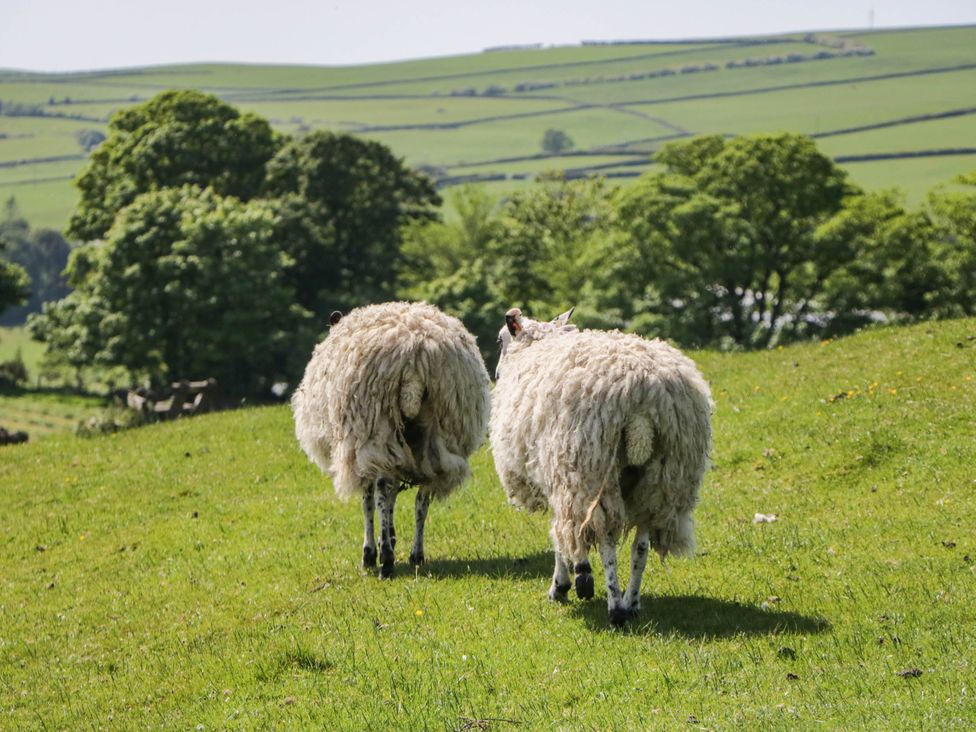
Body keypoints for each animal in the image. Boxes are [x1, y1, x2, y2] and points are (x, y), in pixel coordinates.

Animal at [292, 301, 490, 578]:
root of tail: (415, 365)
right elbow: (395, 494)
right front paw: (392, 538)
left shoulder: (360, 451)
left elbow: (369, 500)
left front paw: (370, 552)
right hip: (440, 434)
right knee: (423, 496)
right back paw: (416, 554)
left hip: (375, 430)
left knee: (382, 489)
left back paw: (385, 559)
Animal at [491, 307, 712, 625]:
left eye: (500, 340)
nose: (495, 374)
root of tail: (644, 400)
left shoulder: (560, 474)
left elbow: (559, 533)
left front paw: (567, 582)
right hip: (663, 480)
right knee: (641, 546)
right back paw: (632, 602)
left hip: (592, 468)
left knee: (607, 539)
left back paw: (615, 608)